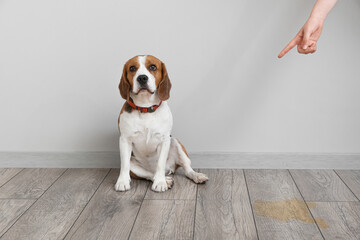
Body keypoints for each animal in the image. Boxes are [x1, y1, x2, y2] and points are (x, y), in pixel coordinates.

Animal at [116, 55, 208, 192]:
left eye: (153, 67)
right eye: (132, 68)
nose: (142, 78)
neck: (145, 108)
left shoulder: (164, 140)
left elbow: (160, 163)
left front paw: (160, 183)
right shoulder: (125, 140)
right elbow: (124, 165)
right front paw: (122, 182)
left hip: (175, 142)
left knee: (187, 169)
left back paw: (195, 176)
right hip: (135, 166)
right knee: (149, 174)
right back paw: (166, 180)